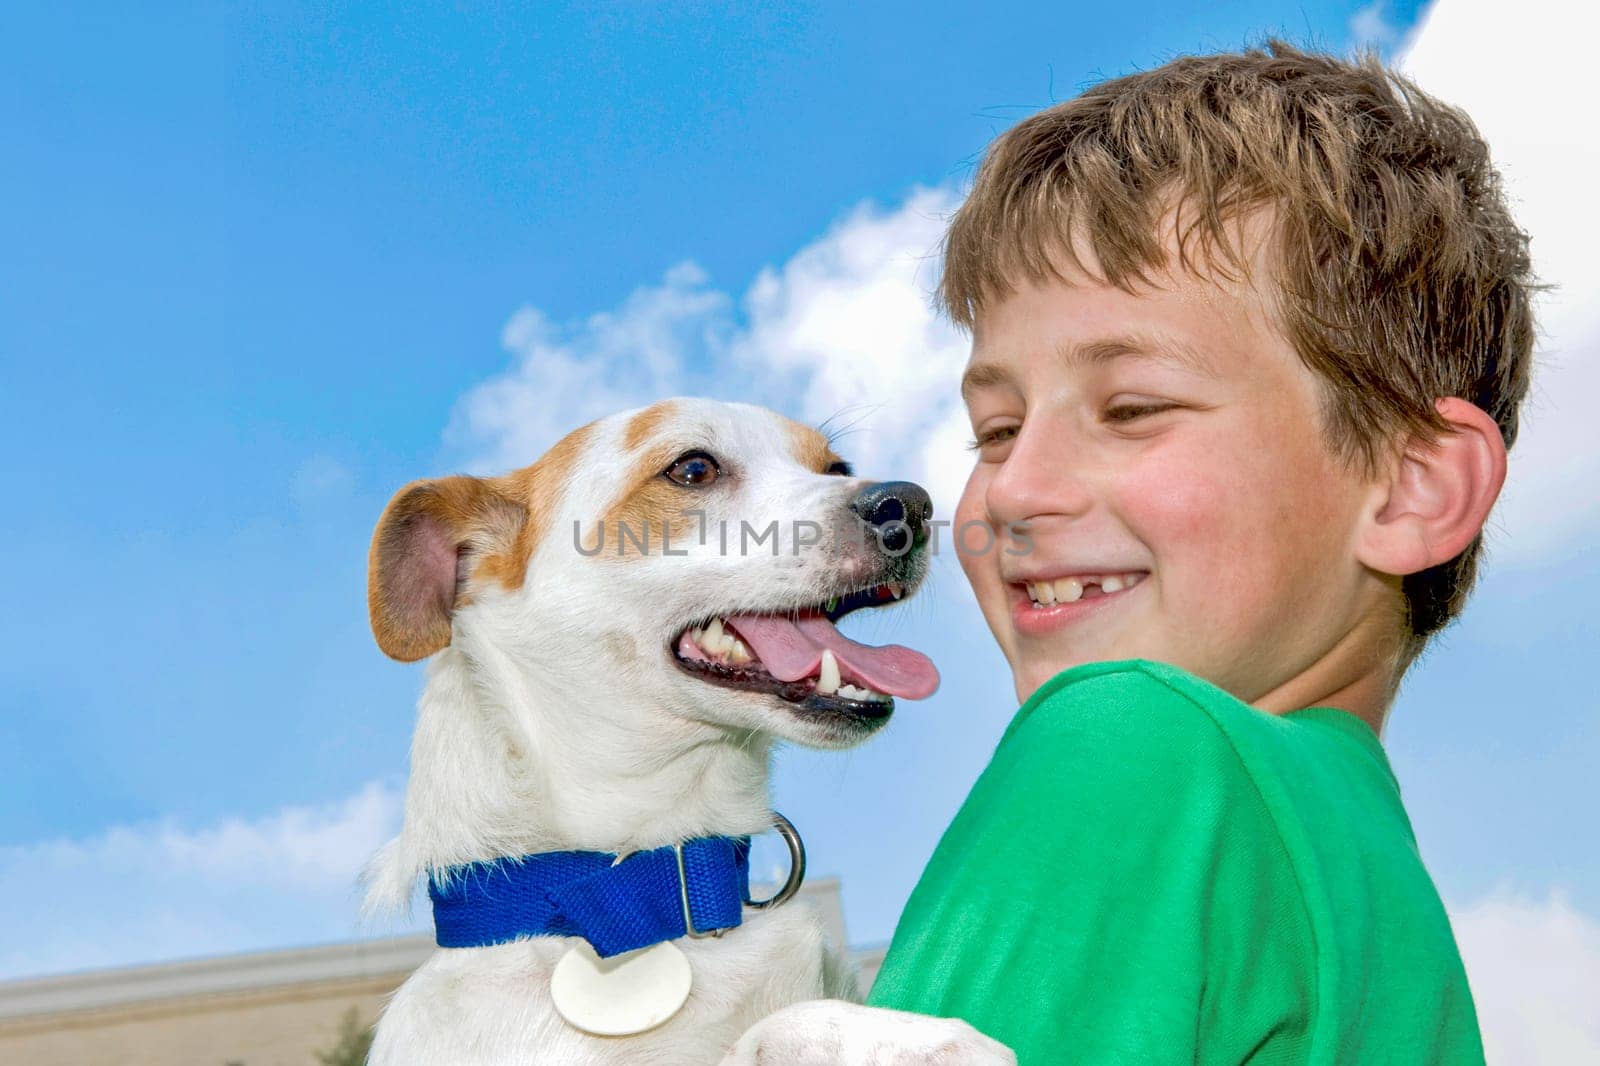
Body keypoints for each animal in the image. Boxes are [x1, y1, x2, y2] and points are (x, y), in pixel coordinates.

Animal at [364, 398, 960, 1062]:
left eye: (836, 467)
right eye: (693, 469)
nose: (911, 504)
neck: (652, 894)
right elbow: (768, 1029)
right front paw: (917, 1036)